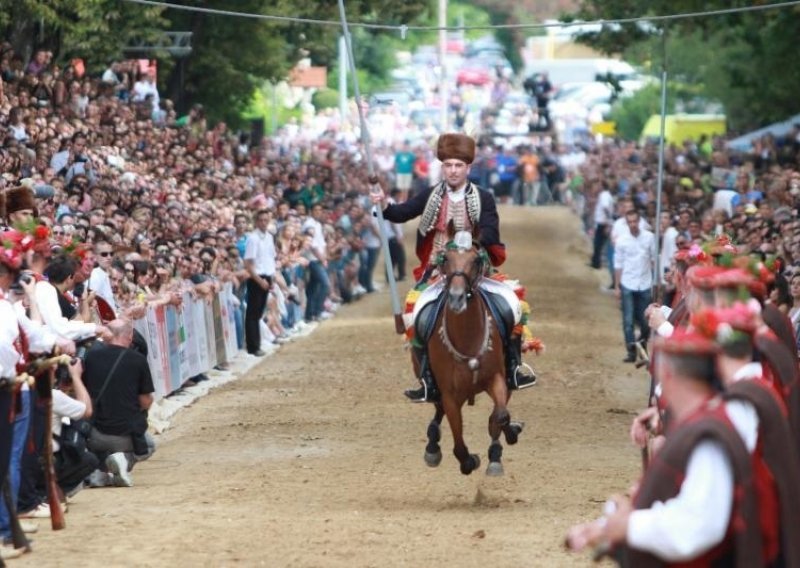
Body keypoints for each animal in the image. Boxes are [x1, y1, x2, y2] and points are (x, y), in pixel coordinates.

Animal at [418, 223, 524, 474]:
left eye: (476, 260)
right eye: (445, 258)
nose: (457, 298)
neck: (467, 337)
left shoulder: (497, 378)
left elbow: (501, 415)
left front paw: (502, 445)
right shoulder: (449, 394)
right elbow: (458, 444)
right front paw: (469, 460)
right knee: (438, 409)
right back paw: (432, 445)